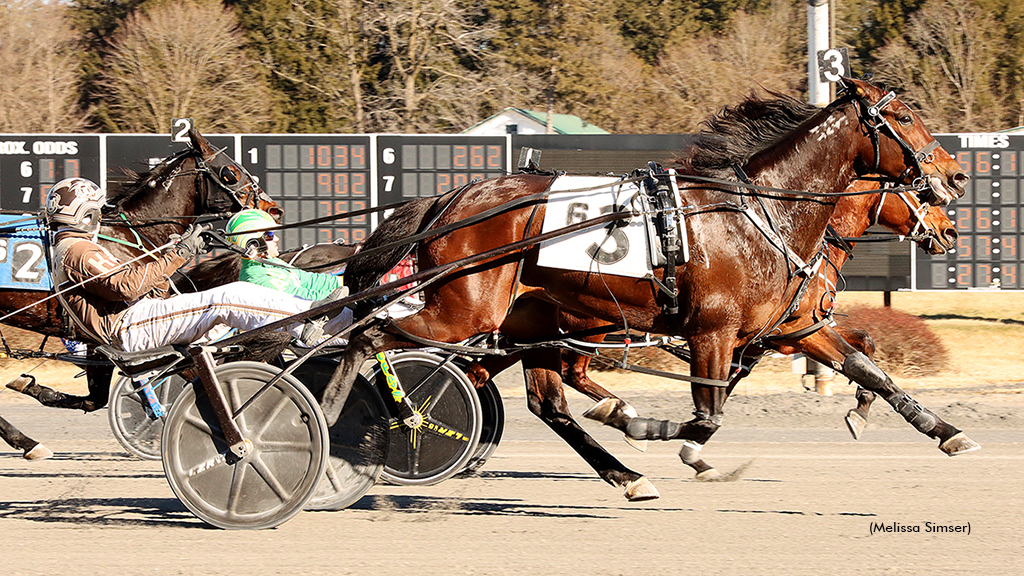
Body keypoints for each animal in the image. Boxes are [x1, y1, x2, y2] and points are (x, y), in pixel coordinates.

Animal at [0, 126, 280, 457]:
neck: (129, 237)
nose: (274, 208)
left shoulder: (98, 340)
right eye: (230, 173)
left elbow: (96, 398)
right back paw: (26, 441)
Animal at [321, 78, 974, 500]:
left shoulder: (789, 326)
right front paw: (669, 441)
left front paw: (945, 432)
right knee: (375, 335)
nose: (955, 178)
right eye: (904, 117)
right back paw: (346, 414)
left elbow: (871, 368)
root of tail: (451, 198)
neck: (762, 214)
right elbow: (706, 417)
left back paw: (625, 474)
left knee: (543, 401)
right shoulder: (716, 332)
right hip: (468, 311)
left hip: (530, 323)